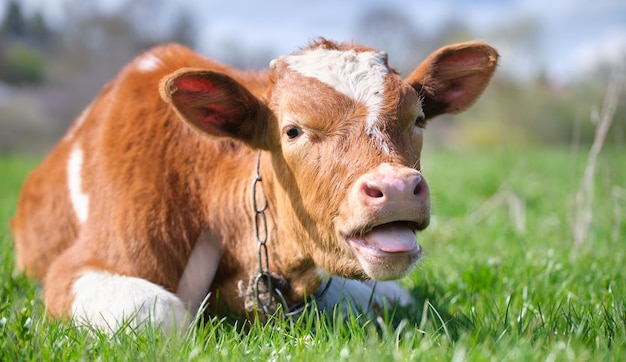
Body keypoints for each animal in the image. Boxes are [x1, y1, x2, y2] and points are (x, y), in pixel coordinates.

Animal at [11, 39, 498, 330]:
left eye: (418, 119)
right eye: (293, 130)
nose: (396, 188)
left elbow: (390, 299)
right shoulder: (76, 268)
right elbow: (162, 315)